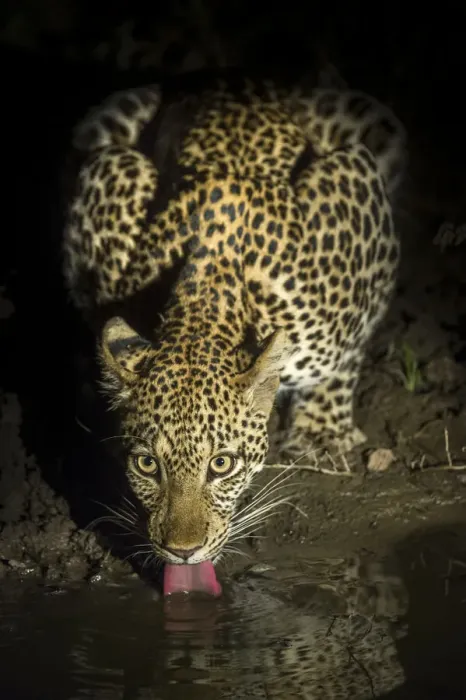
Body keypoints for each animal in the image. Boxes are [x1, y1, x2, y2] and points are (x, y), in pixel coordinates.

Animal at [63, 69, 406, 569]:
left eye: (221, 464)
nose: (182, 552)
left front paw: (321, 434)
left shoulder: (359, 192)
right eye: (148, 465)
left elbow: (348, 351)